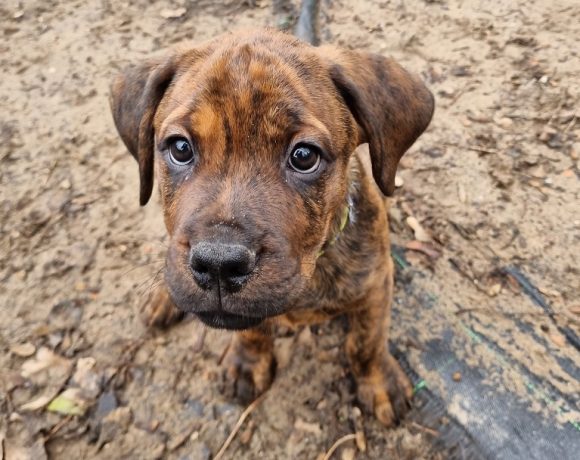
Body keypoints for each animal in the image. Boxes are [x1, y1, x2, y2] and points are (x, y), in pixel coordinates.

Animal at [111, 28, 432, 426]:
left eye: (304, 156)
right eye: (180, 148)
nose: (218, 265)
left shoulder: (375, 284)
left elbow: (367, 341)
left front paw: (378, 381)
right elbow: (252, 329)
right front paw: (248, 363)